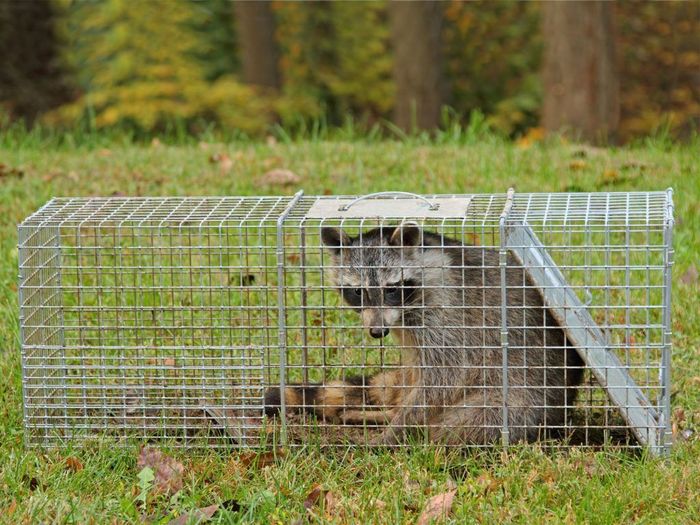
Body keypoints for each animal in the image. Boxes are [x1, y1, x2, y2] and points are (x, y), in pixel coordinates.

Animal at [266, 223, 584, 444]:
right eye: (357, 292)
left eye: (391, 289)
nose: (377, 332)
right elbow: (416, 375)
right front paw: (392, 417)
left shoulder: (448, 312)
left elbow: (444, 378)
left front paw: (397, 429)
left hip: (523, 402)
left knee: (463, 424)